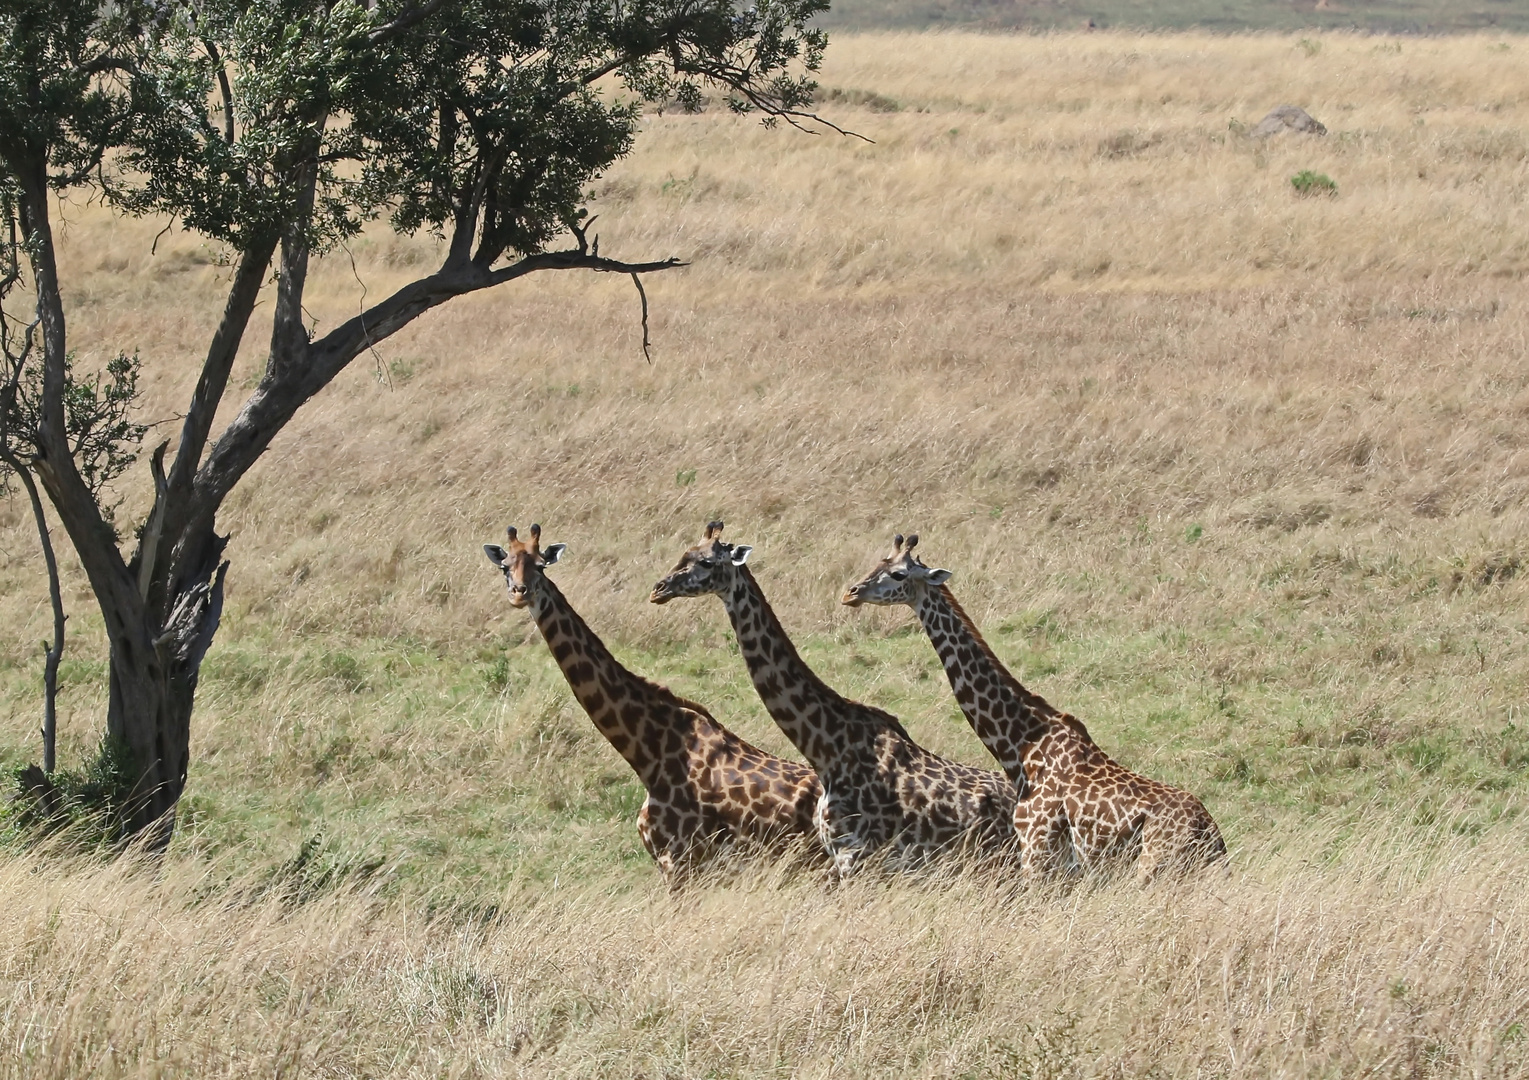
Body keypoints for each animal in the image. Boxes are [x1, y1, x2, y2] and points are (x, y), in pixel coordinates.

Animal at [645, 520, 1015, 875]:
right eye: (684, 553)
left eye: (706, 562)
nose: (658, 590)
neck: (826, 749)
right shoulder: (843, 856)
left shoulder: (856, 856)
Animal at [844, 532, 1223, 881]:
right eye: (878, 563)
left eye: (899, 575)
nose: (851, 593)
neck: (1020, 748)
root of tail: (1211, 836)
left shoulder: (1035, 851)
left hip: (1153, 870)